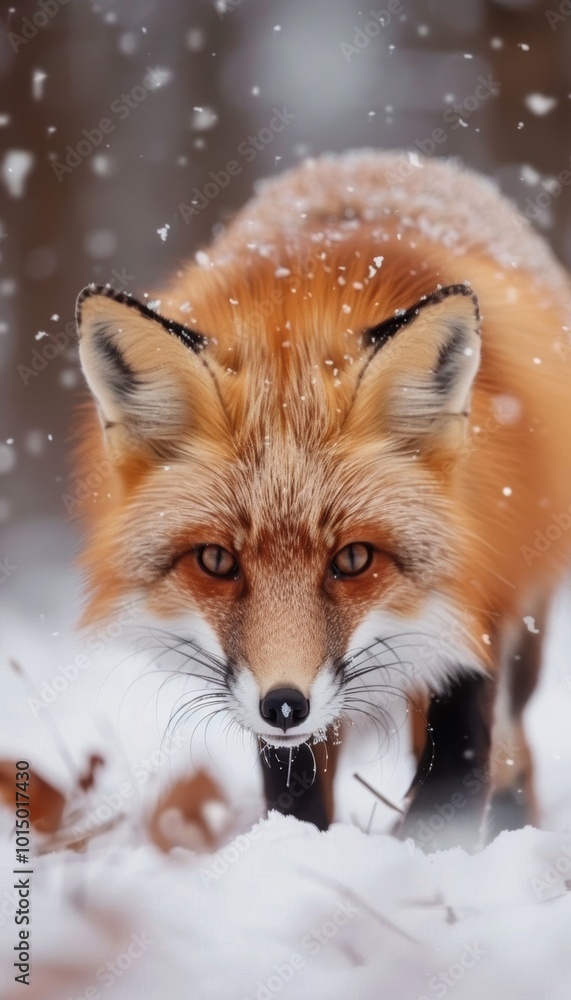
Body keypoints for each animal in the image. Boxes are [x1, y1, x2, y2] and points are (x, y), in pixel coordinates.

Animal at [74, 150, 571, 849]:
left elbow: (457, 765)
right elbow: (295, 786)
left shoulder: (477, 604)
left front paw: (427, 852)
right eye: (217, 562)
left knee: (513, 742)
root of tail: (376, 158)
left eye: (354, 559)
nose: (285, 704)